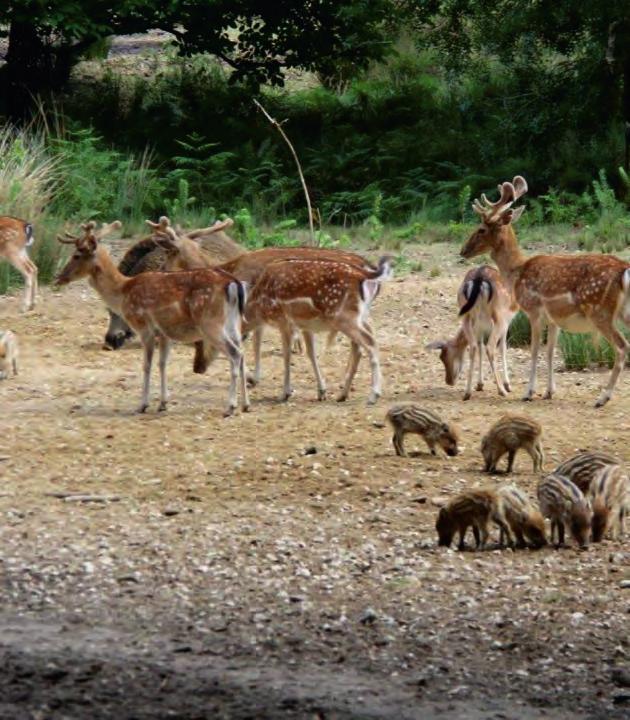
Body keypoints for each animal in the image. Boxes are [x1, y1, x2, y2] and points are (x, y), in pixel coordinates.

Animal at [55, 222, 251, 420]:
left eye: (76, 255)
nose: (58, 277)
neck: (123, 291)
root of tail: (234, 283)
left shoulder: (145, 328)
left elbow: (146, 365)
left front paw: (142, 405)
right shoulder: (164, 334)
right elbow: (162, 364)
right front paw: (163, 403)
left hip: (210, 323)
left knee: (235, 353)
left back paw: (230, 407)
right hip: (233, 323)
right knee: (242, 352)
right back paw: (246, 404)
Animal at [243, 258, 396, 404]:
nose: (249, 380)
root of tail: (363, 274)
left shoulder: (284, 321)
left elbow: (286, 355)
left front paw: (284, 394)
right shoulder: (305, 325)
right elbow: (311, 353)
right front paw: (321, 392)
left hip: (344, 317)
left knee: (369, 342)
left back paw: (373, 395)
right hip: (360, 316)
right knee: (361, 345)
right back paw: (342, 395)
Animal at [424, 264, 520, 400]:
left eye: (444, 356)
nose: (449, 381)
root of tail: (478, 280)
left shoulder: (480, 326)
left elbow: (480, 346)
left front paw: (480, 384)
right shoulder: (506, 320)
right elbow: (503, 347)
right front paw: (507, 385)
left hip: (466, 314)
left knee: (474, 346)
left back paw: (467, 392)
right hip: (498, 315)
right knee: (489, 347)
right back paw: (501, 390)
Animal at [460, 177, 630, 408]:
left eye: (481, 229)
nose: (463, 250)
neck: (517, 272)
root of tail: (624, 270)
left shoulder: (534, 311)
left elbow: (534, 351)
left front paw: (528, 392)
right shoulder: (554, 319)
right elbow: (549, 352)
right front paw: (549, 391)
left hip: (599, 311)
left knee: (622, 347)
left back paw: (603, 398)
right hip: (622, 312)